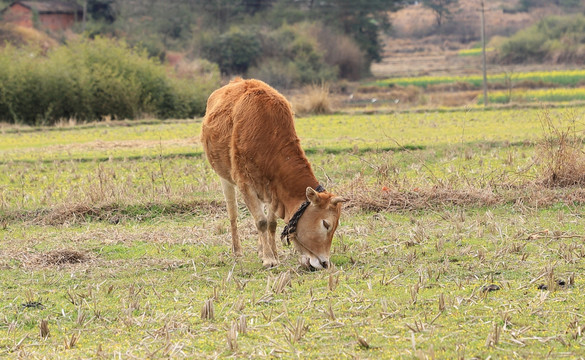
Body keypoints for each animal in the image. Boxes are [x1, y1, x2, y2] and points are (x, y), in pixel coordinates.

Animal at [202, 79, 344, 270]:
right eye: (326, 224)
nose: (324, 263)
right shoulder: (245, 184)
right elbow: (260, 222)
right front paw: (269, 259)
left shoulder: (273, 190)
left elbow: (271, 223)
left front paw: (273, 254)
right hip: (225, 178)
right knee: (233, 214)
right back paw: (237, 251)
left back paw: (261, 250)